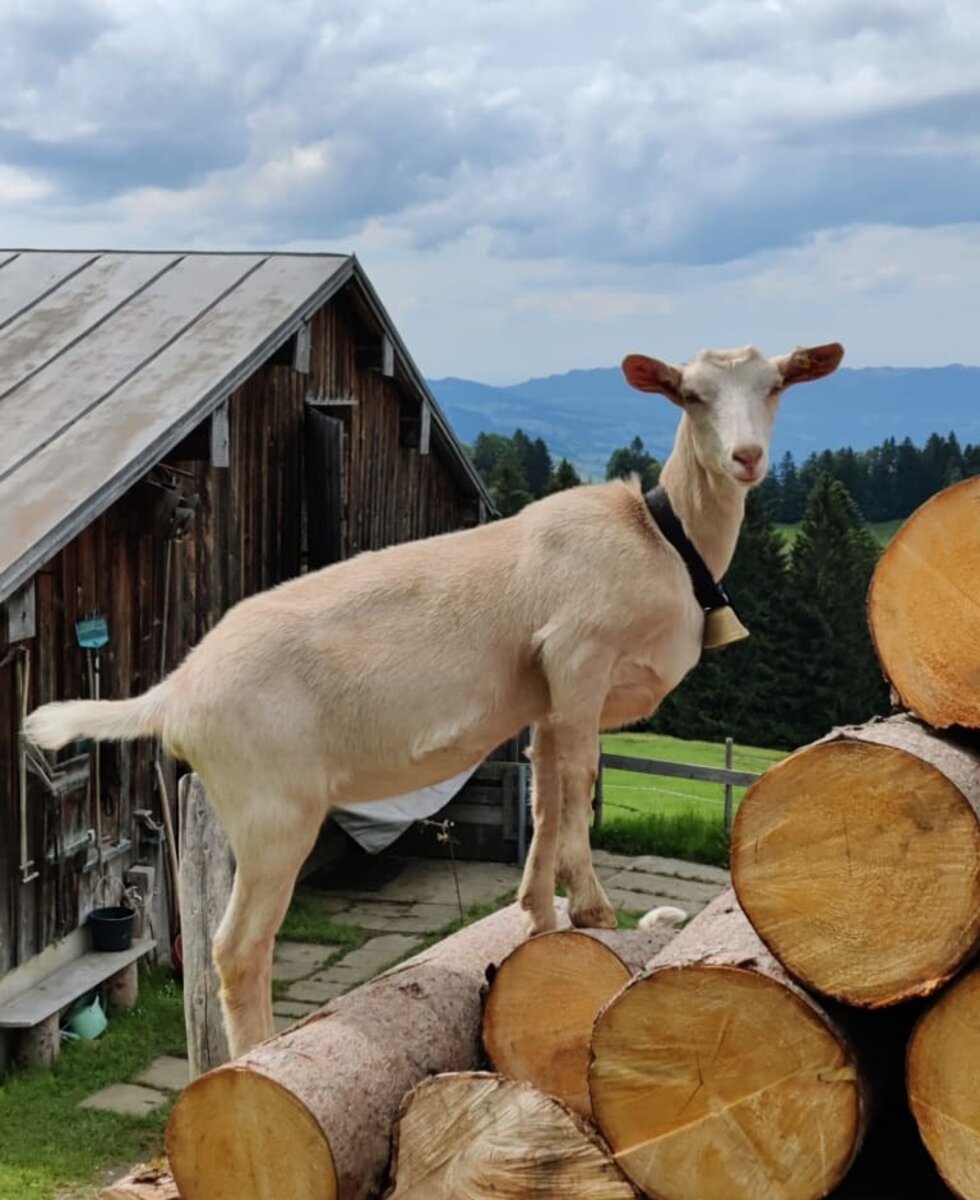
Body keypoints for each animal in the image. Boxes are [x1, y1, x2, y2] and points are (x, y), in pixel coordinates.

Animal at [20, 343, 839, 1056]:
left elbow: (546, 795)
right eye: (690, 394)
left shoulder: (546, 697)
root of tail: (178, 687)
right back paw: (255, 1057)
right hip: (271, 807)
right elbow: (579, 784)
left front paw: (539, 913)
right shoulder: (578, 654)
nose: (747, 458)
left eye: (776, 386)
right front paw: (594, 908)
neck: (661, 539)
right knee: (237, 947)